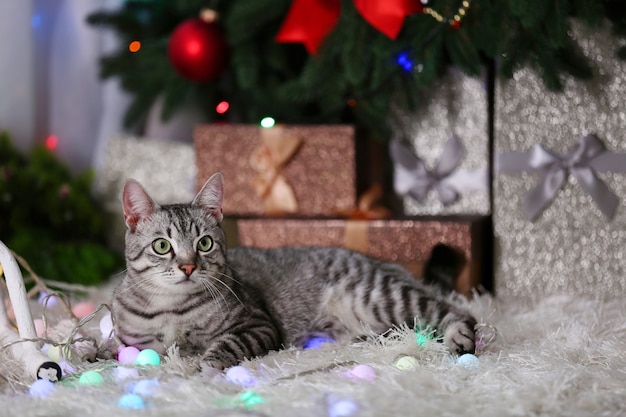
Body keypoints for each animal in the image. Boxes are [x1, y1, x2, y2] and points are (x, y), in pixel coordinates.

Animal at [111, 171, 472, 368]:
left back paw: (461, 337)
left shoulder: (259, 325)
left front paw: (205, 366)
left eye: (205, 243)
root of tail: (381, 261)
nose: (187, 266)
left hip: (378, 296)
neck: (171, 309)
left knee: (455, 311)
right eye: (162, 246)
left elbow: (226, 345)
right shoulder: (135, 343)